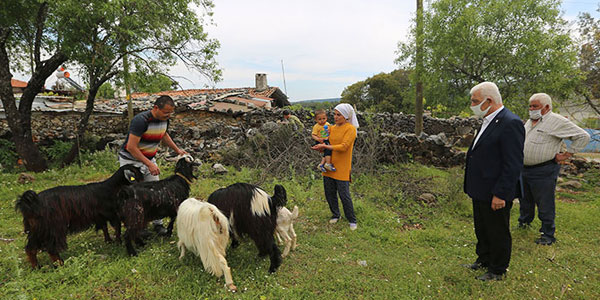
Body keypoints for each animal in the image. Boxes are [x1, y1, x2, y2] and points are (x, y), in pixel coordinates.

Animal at [14, 165, 142, 268]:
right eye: (137, 172)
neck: (111, 187)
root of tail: (32, 203)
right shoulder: (113, 214)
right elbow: (117, 228)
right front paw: (117, 242)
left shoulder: (101, 216)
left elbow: (105, 228)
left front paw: (109, 241)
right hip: (54, 228)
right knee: (51, 248)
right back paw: (61, 264)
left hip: (37, 230)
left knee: (31, 249)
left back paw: (37, 267)